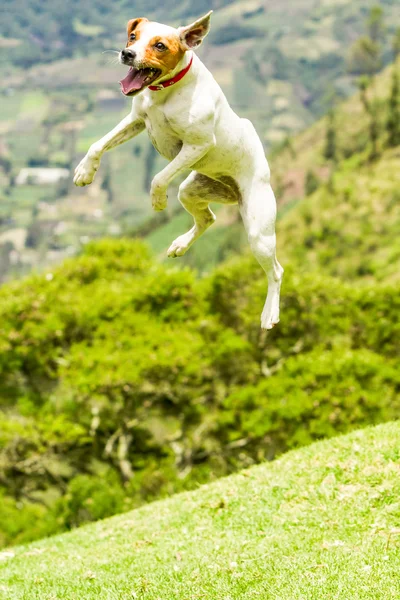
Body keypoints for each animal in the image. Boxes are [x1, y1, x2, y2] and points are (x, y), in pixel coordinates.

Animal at [73, 11, 282, 330]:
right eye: (133, 37)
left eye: (159, 45)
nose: (127, 53)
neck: (165, 92)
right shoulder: (136, 120)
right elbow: (98, 144)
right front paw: (85, 171)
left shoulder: (197, 144)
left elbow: (159, 177)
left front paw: (158, 200)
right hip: (192, 190)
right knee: (208, 218)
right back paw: (181, 244)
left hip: (259, 233)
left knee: (276, 271)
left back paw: (270, 312)